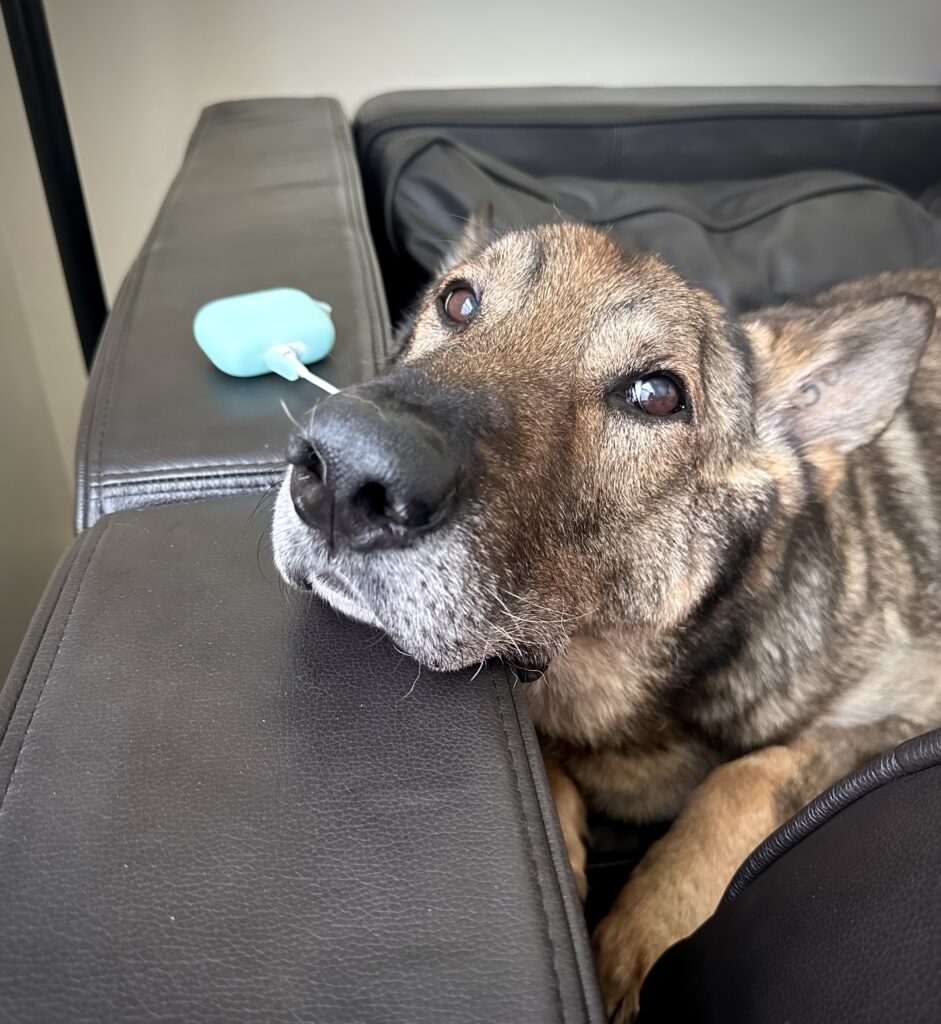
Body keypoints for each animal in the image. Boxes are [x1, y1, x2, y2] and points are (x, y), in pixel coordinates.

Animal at [273, 216, 941, 1022]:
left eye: (655, 394)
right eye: (458, 302)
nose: (342, 470)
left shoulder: (908, 714)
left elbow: (744, 778)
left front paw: (631, 941)